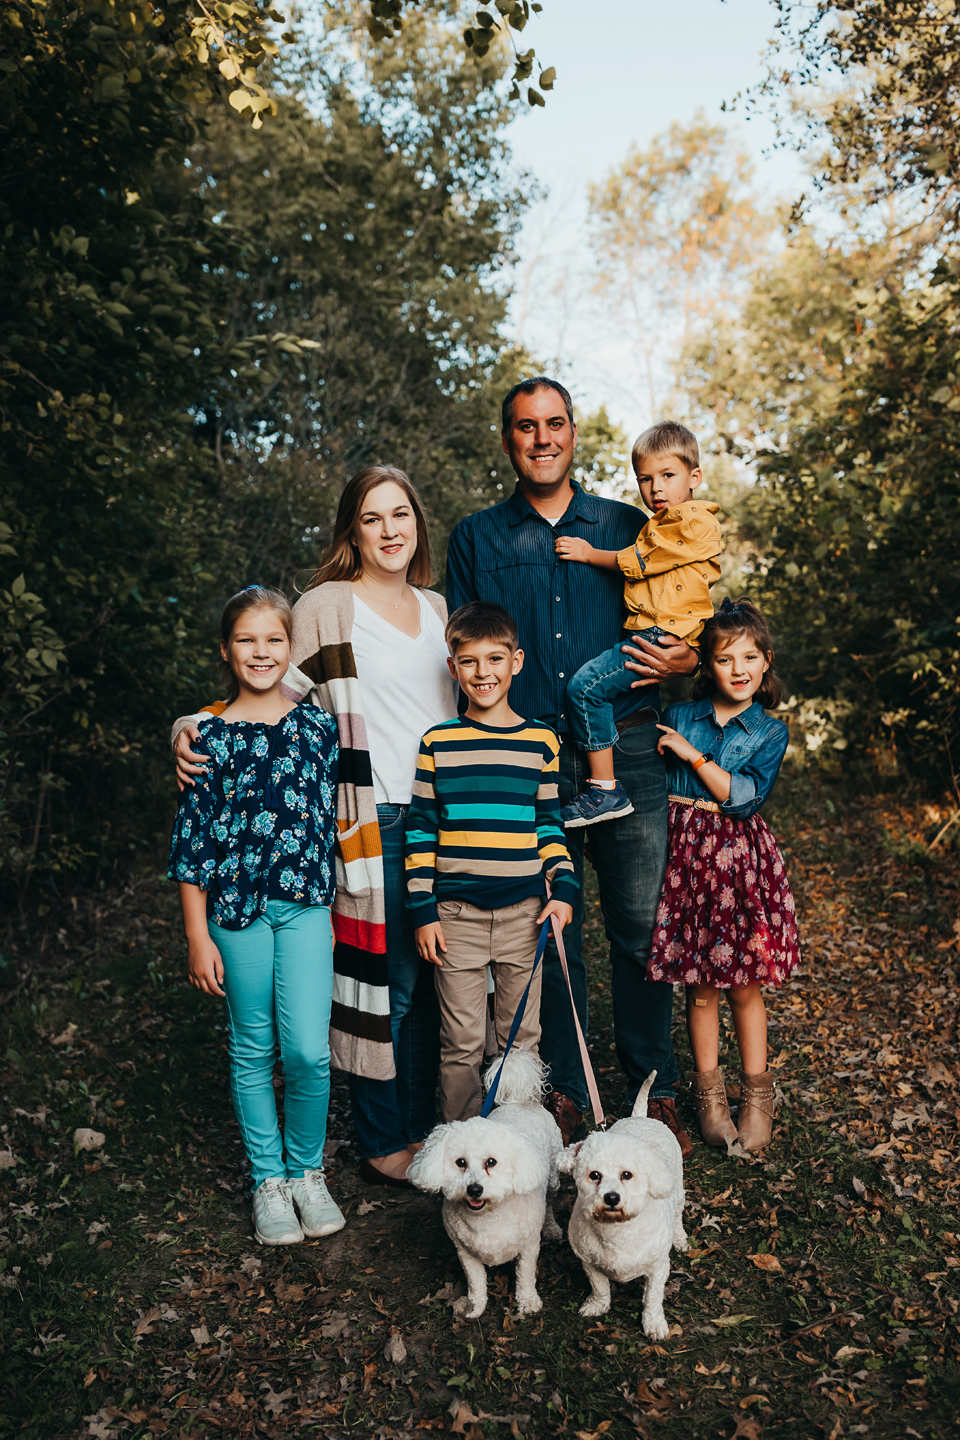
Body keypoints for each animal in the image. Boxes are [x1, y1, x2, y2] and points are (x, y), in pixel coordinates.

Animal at [408, 1048, 564, 1319]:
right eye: (460, 1162)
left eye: (491, 1162)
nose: (474, 1189)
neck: (488, 1218)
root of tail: (518, 1103)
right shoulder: (465, 1253)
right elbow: (476, 1281)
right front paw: (474, 1305)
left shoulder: (529, 1247)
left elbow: (525, 1275)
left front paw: (528, 1301)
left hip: (553, 1178)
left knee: (551, 1204)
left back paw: (552, 1227)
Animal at [558, 1071, 687, 1336]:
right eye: (594, 1175)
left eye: (627, 1175)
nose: (612, 1197)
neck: (617, 1231)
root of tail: (640, 1117)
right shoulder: (589, 1262)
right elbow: (599, 1287)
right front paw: (598, 1305)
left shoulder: (658, 1267)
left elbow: (653, 1298)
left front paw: (654, 1323)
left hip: (678, 1189)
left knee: (679, 1213)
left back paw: (680, 1238)